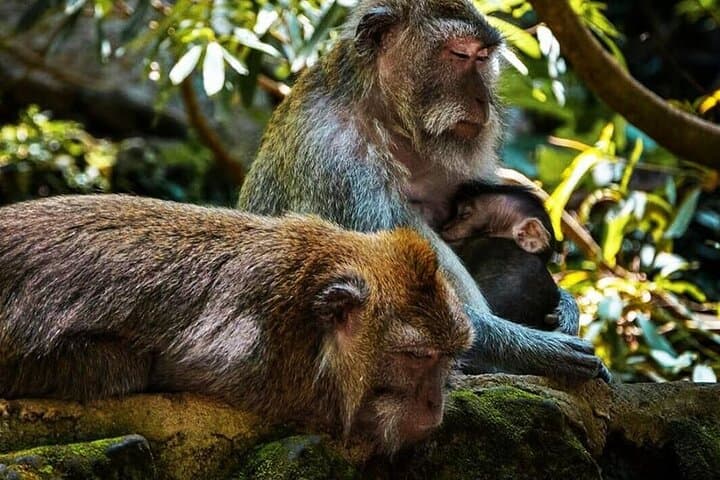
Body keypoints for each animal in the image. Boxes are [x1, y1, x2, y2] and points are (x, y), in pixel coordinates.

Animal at [237, 0, 609, 381]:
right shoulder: (339, 165)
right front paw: (541, 351)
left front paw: (566, 307)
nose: (484, 100)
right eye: (460, 54)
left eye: (483, 57)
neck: (388, 120)